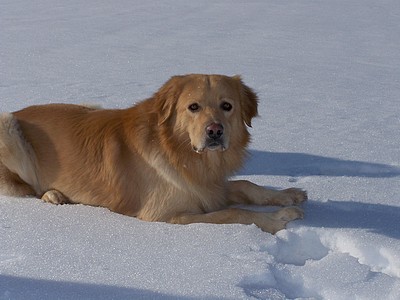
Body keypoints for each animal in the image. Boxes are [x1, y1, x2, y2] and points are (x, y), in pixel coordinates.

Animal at [0, 74, 306, 232]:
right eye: (193, 107)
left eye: (227, 106)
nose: (215, 131)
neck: (183, 153)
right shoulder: (170, 214)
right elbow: (233, 213)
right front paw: (277, 219)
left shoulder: (207, 188)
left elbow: (245, 185)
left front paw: (287, 195)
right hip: (8, 128)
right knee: (25, 187)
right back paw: (52, 194)